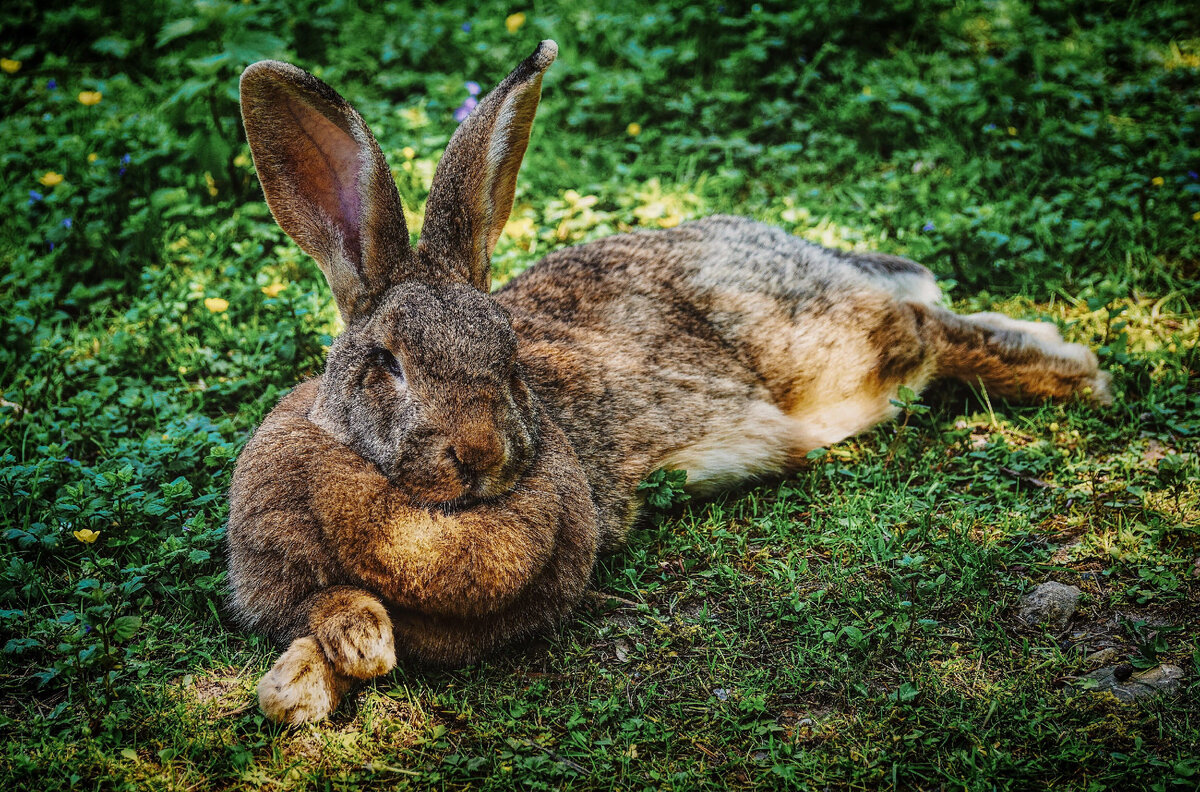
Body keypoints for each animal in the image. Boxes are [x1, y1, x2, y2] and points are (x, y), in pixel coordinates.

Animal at [225, 41, 1104, 724]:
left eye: (509, 358)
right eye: (388, 364)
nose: (480, 455)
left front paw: (332, 664)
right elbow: (317, 619)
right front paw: (312, 675)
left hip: (828, 349)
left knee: (927, 332)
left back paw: (1073, 373)